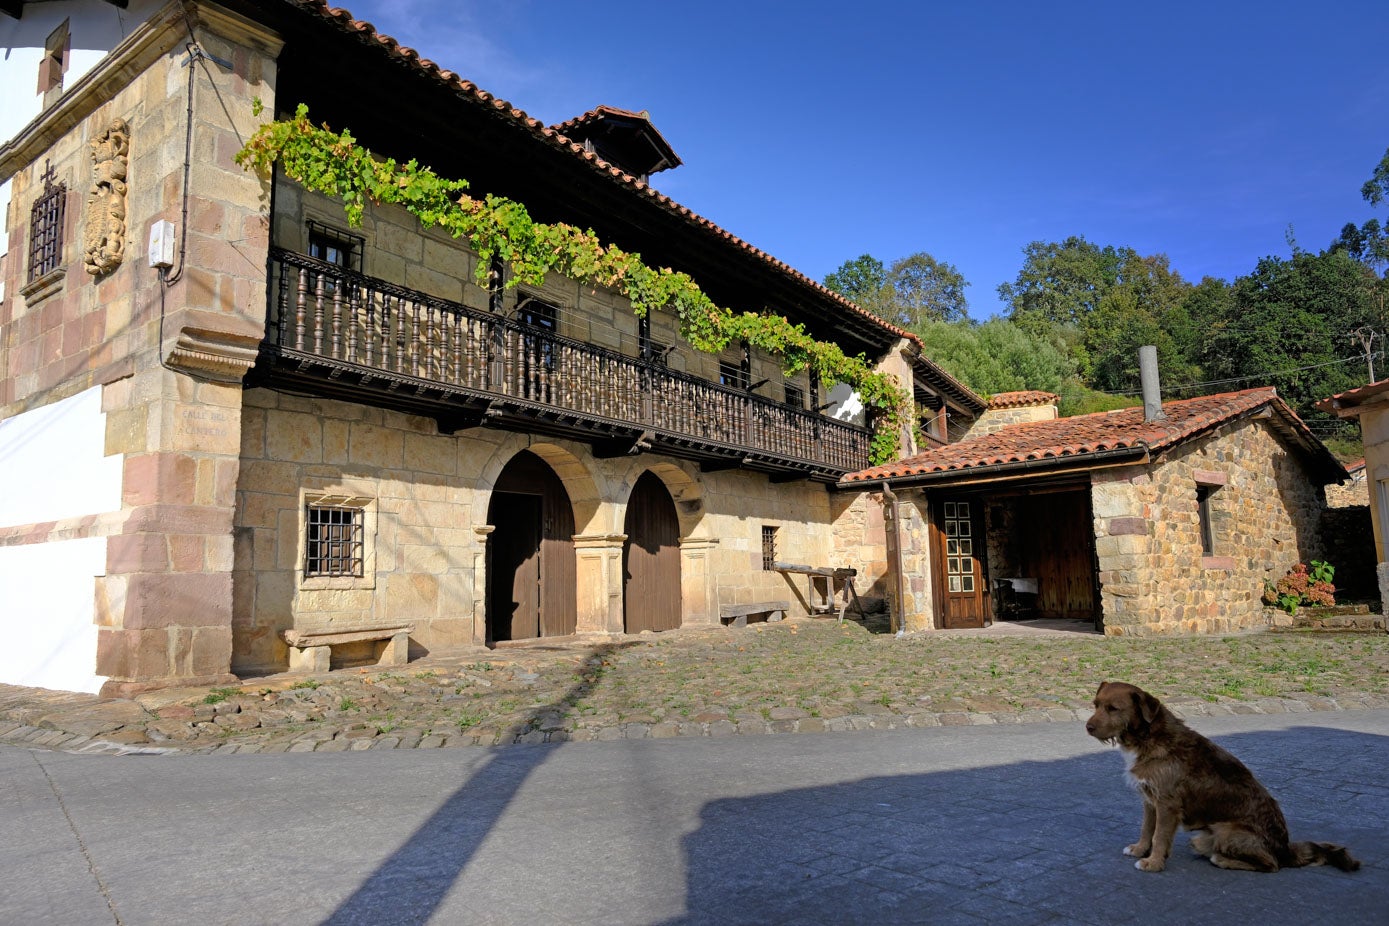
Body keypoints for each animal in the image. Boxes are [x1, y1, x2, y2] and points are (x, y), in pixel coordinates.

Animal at [1083, 680, 1355, 877]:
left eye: (1113, 709)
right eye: (1095, 704)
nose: (1088, 728)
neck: (1147, 737)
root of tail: (1285, 848)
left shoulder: (1167, 805)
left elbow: (1159, 836)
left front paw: (1153, 863)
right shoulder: (1150, 801)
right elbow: (1147, 829)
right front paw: (1140, 850)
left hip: (1227, 832)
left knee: (1271, 865)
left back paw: (1223, 860)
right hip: (1202, 838)